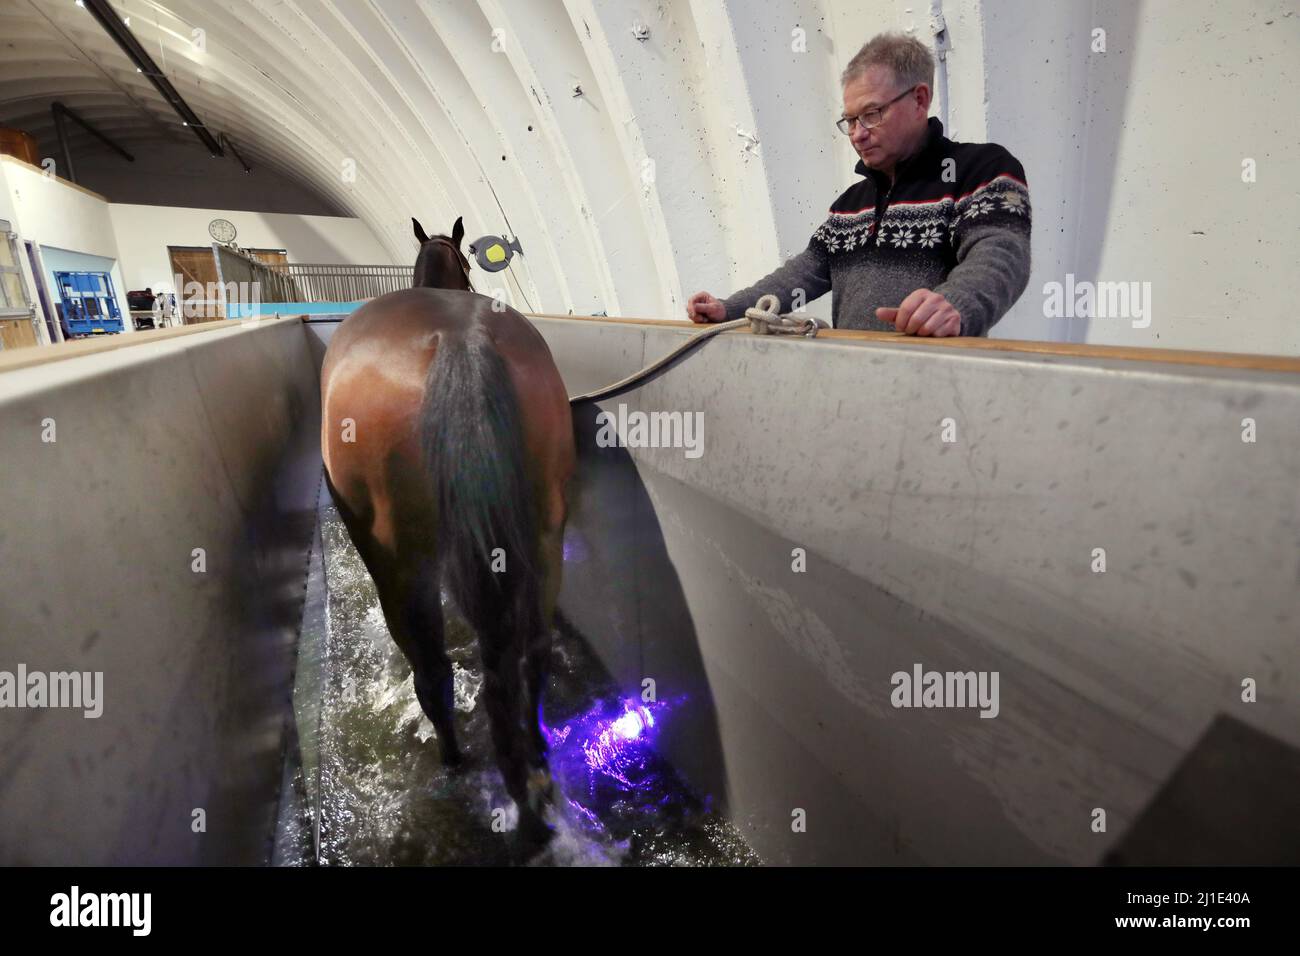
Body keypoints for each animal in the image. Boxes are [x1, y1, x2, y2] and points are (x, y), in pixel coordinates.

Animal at [319, 216, 575, 851]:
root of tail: (460, 341)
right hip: (545, 536)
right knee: (531, 651)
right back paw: (535, 758)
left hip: (398, 565)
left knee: (432, 674)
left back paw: (455, 761)